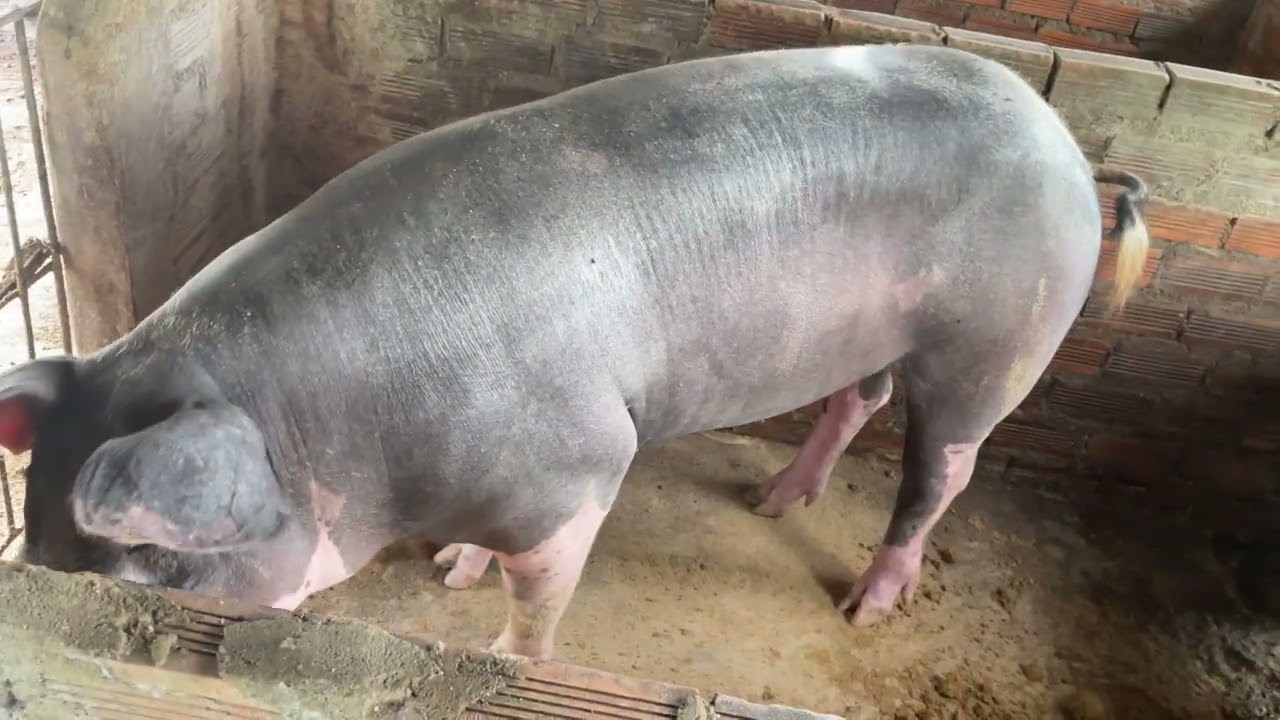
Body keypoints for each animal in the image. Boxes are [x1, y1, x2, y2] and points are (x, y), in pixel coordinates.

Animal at [0, 43, 1149, 661]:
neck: (326, 427)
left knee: (938, 474)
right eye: (35, 537)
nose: (47, 596)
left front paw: (503, 652)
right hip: (877, 333)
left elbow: (538, 604)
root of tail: (1061, 140)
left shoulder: (581, 469)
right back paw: (776, 501)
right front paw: (453, 569)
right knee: (855, 400)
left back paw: (866, 605)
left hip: (998, 340)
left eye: (148, 567)